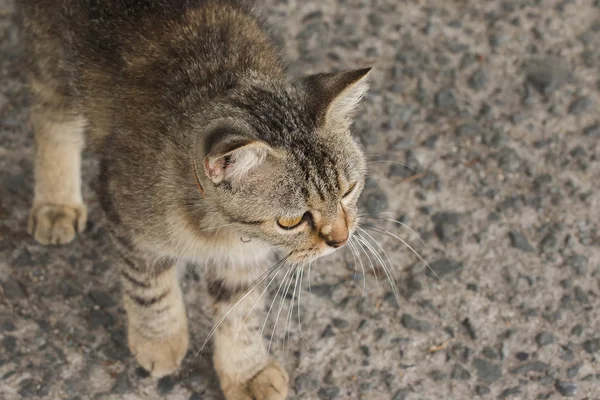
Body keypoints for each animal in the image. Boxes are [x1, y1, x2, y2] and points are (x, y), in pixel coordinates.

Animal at [22, 1, 370, 398]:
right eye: (291, 221)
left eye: (348, 190)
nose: (340, 239)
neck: (218, 228)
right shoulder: (127, 218)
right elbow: (149, 289)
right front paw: (159, 341)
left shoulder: (244, 258)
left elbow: (241, 316)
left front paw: (246, 372)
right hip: (52, 54)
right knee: (52, 117)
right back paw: (56, 204)